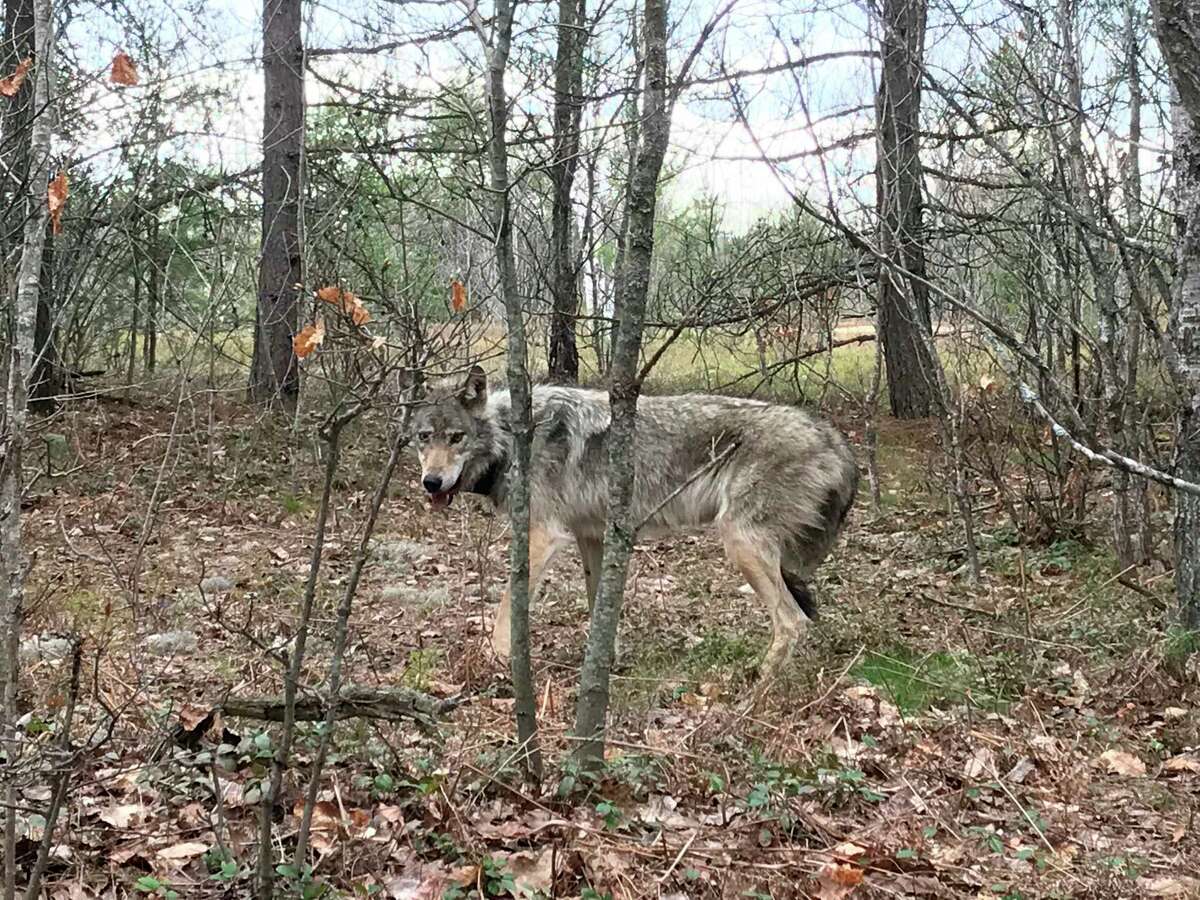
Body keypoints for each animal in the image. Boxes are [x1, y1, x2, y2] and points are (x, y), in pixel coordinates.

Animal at [410, 365, 859, 677]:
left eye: (456, 438)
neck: (511, 439)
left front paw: (494, 658)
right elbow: (599, 606)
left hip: (740, 545)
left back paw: (754, 687)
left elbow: (508, 604)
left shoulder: (543, 536)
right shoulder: (591, 536)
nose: (431, 482)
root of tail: (835, 439)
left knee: (793, 622)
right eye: (422, 438)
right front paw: (604, 662)